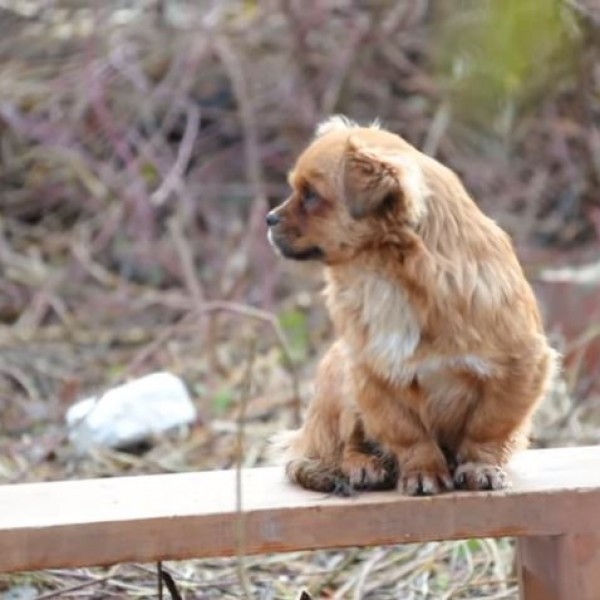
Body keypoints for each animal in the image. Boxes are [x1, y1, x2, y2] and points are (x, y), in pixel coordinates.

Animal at [268, 115, 556, 494]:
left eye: (312, 195)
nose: (269, 218)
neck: (386, 274)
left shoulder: (519, 367)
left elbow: (486, 427)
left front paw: (478, 467)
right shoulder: (371, 375)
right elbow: (407, 433)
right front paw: (422, 472)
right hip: (339, 371)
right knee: (345, 445)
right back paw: (365, 467)